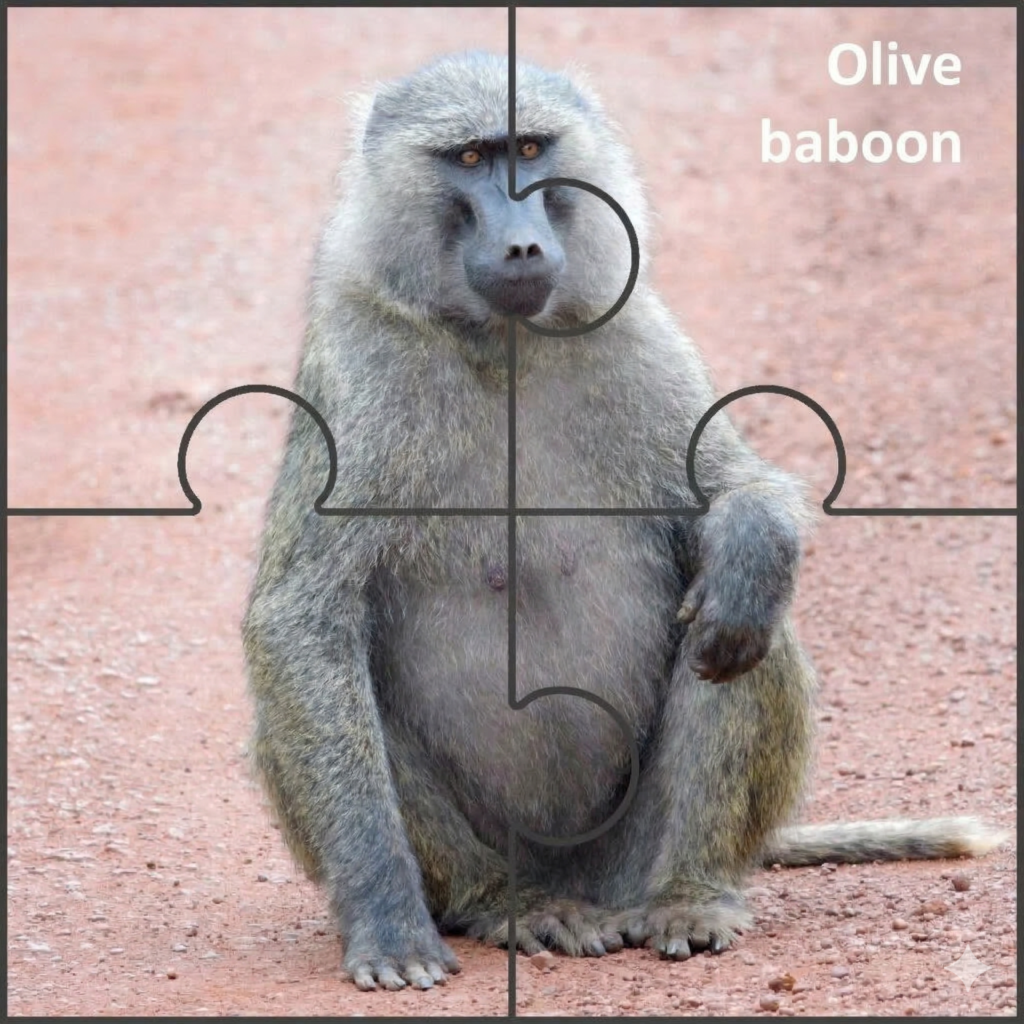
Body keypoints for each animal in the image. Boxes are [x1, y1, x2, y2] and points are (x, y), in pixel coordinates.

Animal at [241, 52, 1008, 991]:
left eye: (532, 149)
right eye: (469, 158)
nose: (523, 243)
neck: (504, 341)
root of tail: (581, 879)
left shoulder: (638, 329)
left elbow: (738, 491)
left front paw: (749, 543)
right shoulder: (359, 367)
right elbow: (302, 619)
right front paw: (387, 920)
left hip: (627, 854)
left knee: (746, 631)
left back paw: (690, 892)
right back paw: (510, 904)